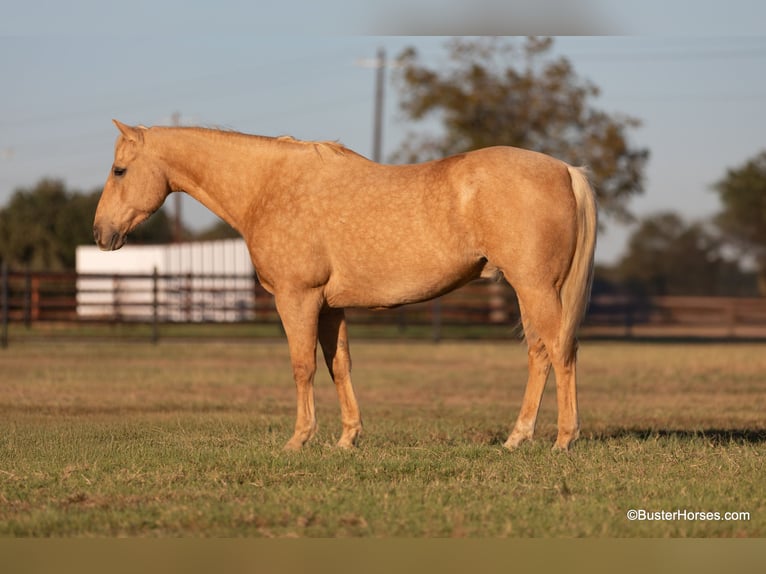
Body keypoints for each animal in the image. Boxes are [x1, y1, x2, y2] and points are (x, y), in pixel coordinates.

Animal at [94, 120, 597, 452]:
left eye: (119, 170)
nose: (101, 233)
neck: (268, 187)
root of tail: (565, 170)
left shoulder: (297, 299)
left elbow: (303, 367)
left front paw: (299, 440)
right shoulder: (330, 306)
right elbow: (340, 365)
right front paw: (347, 439)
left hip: (535, 287)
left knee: (560, 350)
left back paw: (562, 440)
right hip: (529, 290)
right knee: (540, 353)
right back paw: (517, 437)